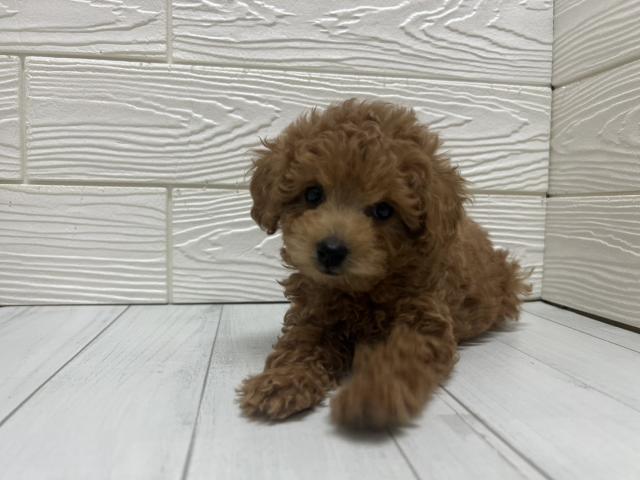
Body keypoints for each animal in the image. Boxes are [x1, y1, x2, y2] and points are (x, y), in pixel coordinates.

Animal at [239, 99, 530, 428]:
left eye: (383, 211)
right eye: (313, 194)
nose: (330, 250)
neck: (363, 288)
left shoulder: (424, 320)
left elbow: (401, 357)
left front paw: (374, 395)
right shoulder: (315, 314)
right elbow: (300, 345)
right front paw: (281, 382)